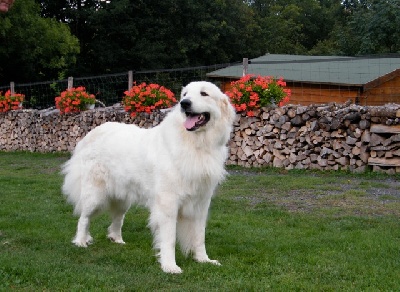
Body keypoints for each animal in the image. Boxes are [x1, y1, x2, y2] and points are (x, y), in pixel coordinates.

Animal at [61, 80, 236, 274]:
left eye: (204, 94)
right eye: (185, 95)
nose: (184, 104)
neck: (196, 143)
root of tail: (94, 132)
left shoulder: (201, 203)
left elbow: (199, 236)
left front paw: (203, 260)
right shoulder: (168, 203)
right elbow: (169, 238)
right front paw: (170, 266)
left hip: (122, 198)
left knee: (117, 218)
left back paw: (117, 239)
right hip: (95, 196)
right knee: (83, 218)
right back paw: (81, 241)